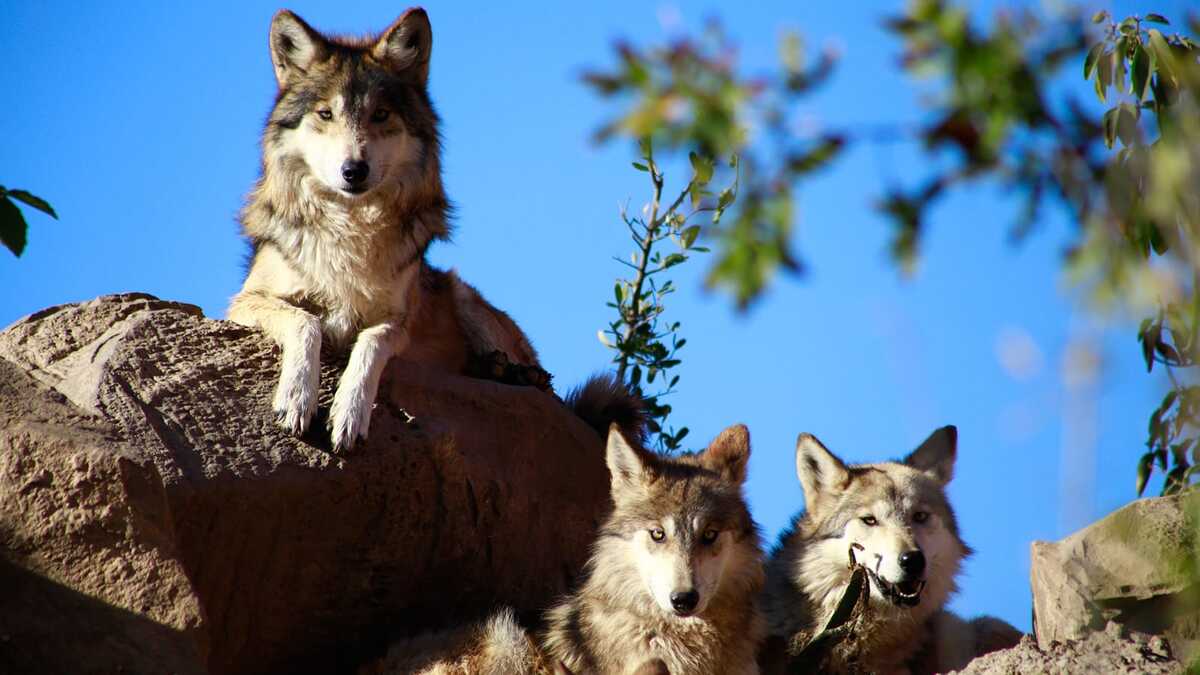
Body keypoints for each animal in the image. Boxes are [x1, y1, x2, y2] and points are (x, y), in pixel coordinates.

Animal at [228, 8, 548, 452]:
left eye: (380, 115)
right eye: (325, 114)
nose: (353, 170)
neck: (350, 228)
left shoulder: (399, 321)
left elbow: (370, 344)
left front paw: (349, 414)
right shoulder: (244, 301)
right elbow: (305, 321)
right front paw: (295, 397)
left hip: (461, 293)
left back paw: (511, 371)